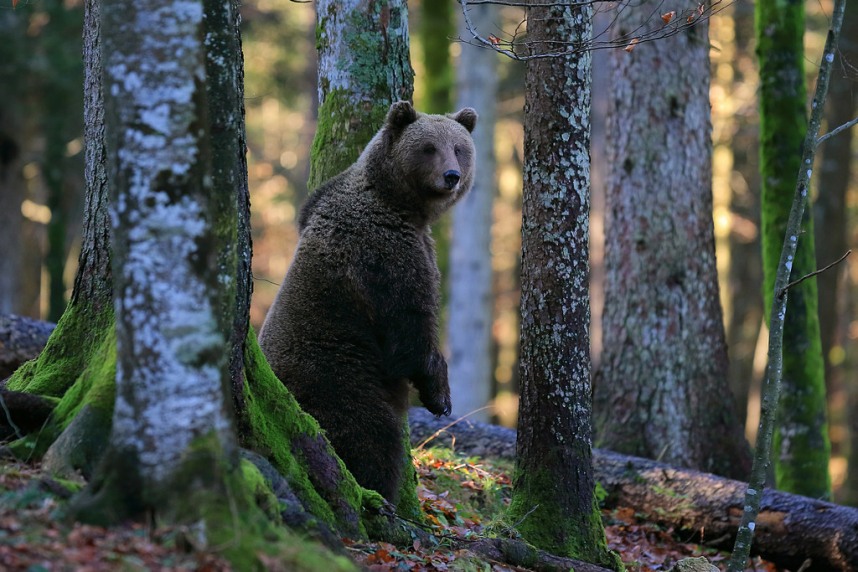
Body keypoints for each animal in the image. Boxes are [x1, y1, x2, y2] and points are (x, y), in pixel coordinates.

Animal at [258, 101, 478, 500]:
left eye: (459, 148)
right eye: (429, 148)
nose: (452, 176)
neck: (398, 203)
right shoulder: (384, 252)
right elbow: (410, 325)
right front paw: (440, 396)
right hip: (335, 372)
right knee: (370, 433)